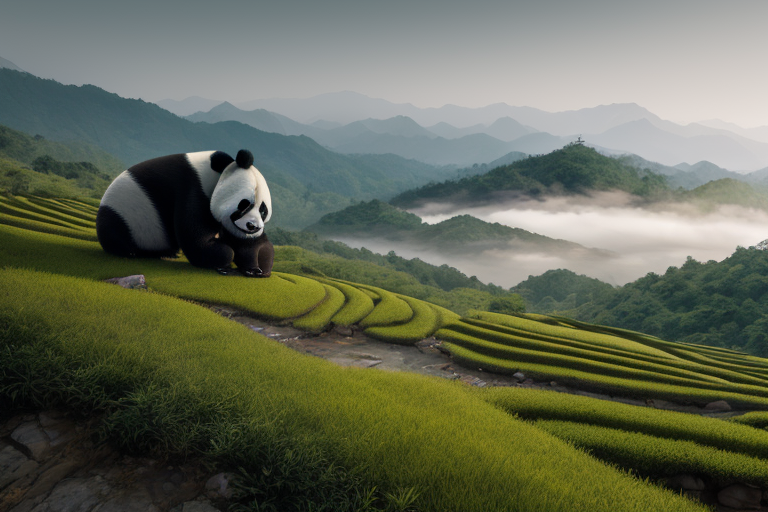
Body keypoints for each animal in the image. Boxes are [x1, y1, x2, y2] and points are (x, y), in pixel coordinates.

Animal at [96, 149, 274, 277]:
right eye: (244, 204)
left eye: (263, 210)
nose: (252, 226)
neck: (216, 174)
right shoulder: (193, 189)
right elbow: (195, 238)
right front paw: (224, 260)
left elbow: (245, 244)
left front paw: (257, 267)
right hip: (122, 215)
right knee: (115, 231)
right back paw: (132, 252)